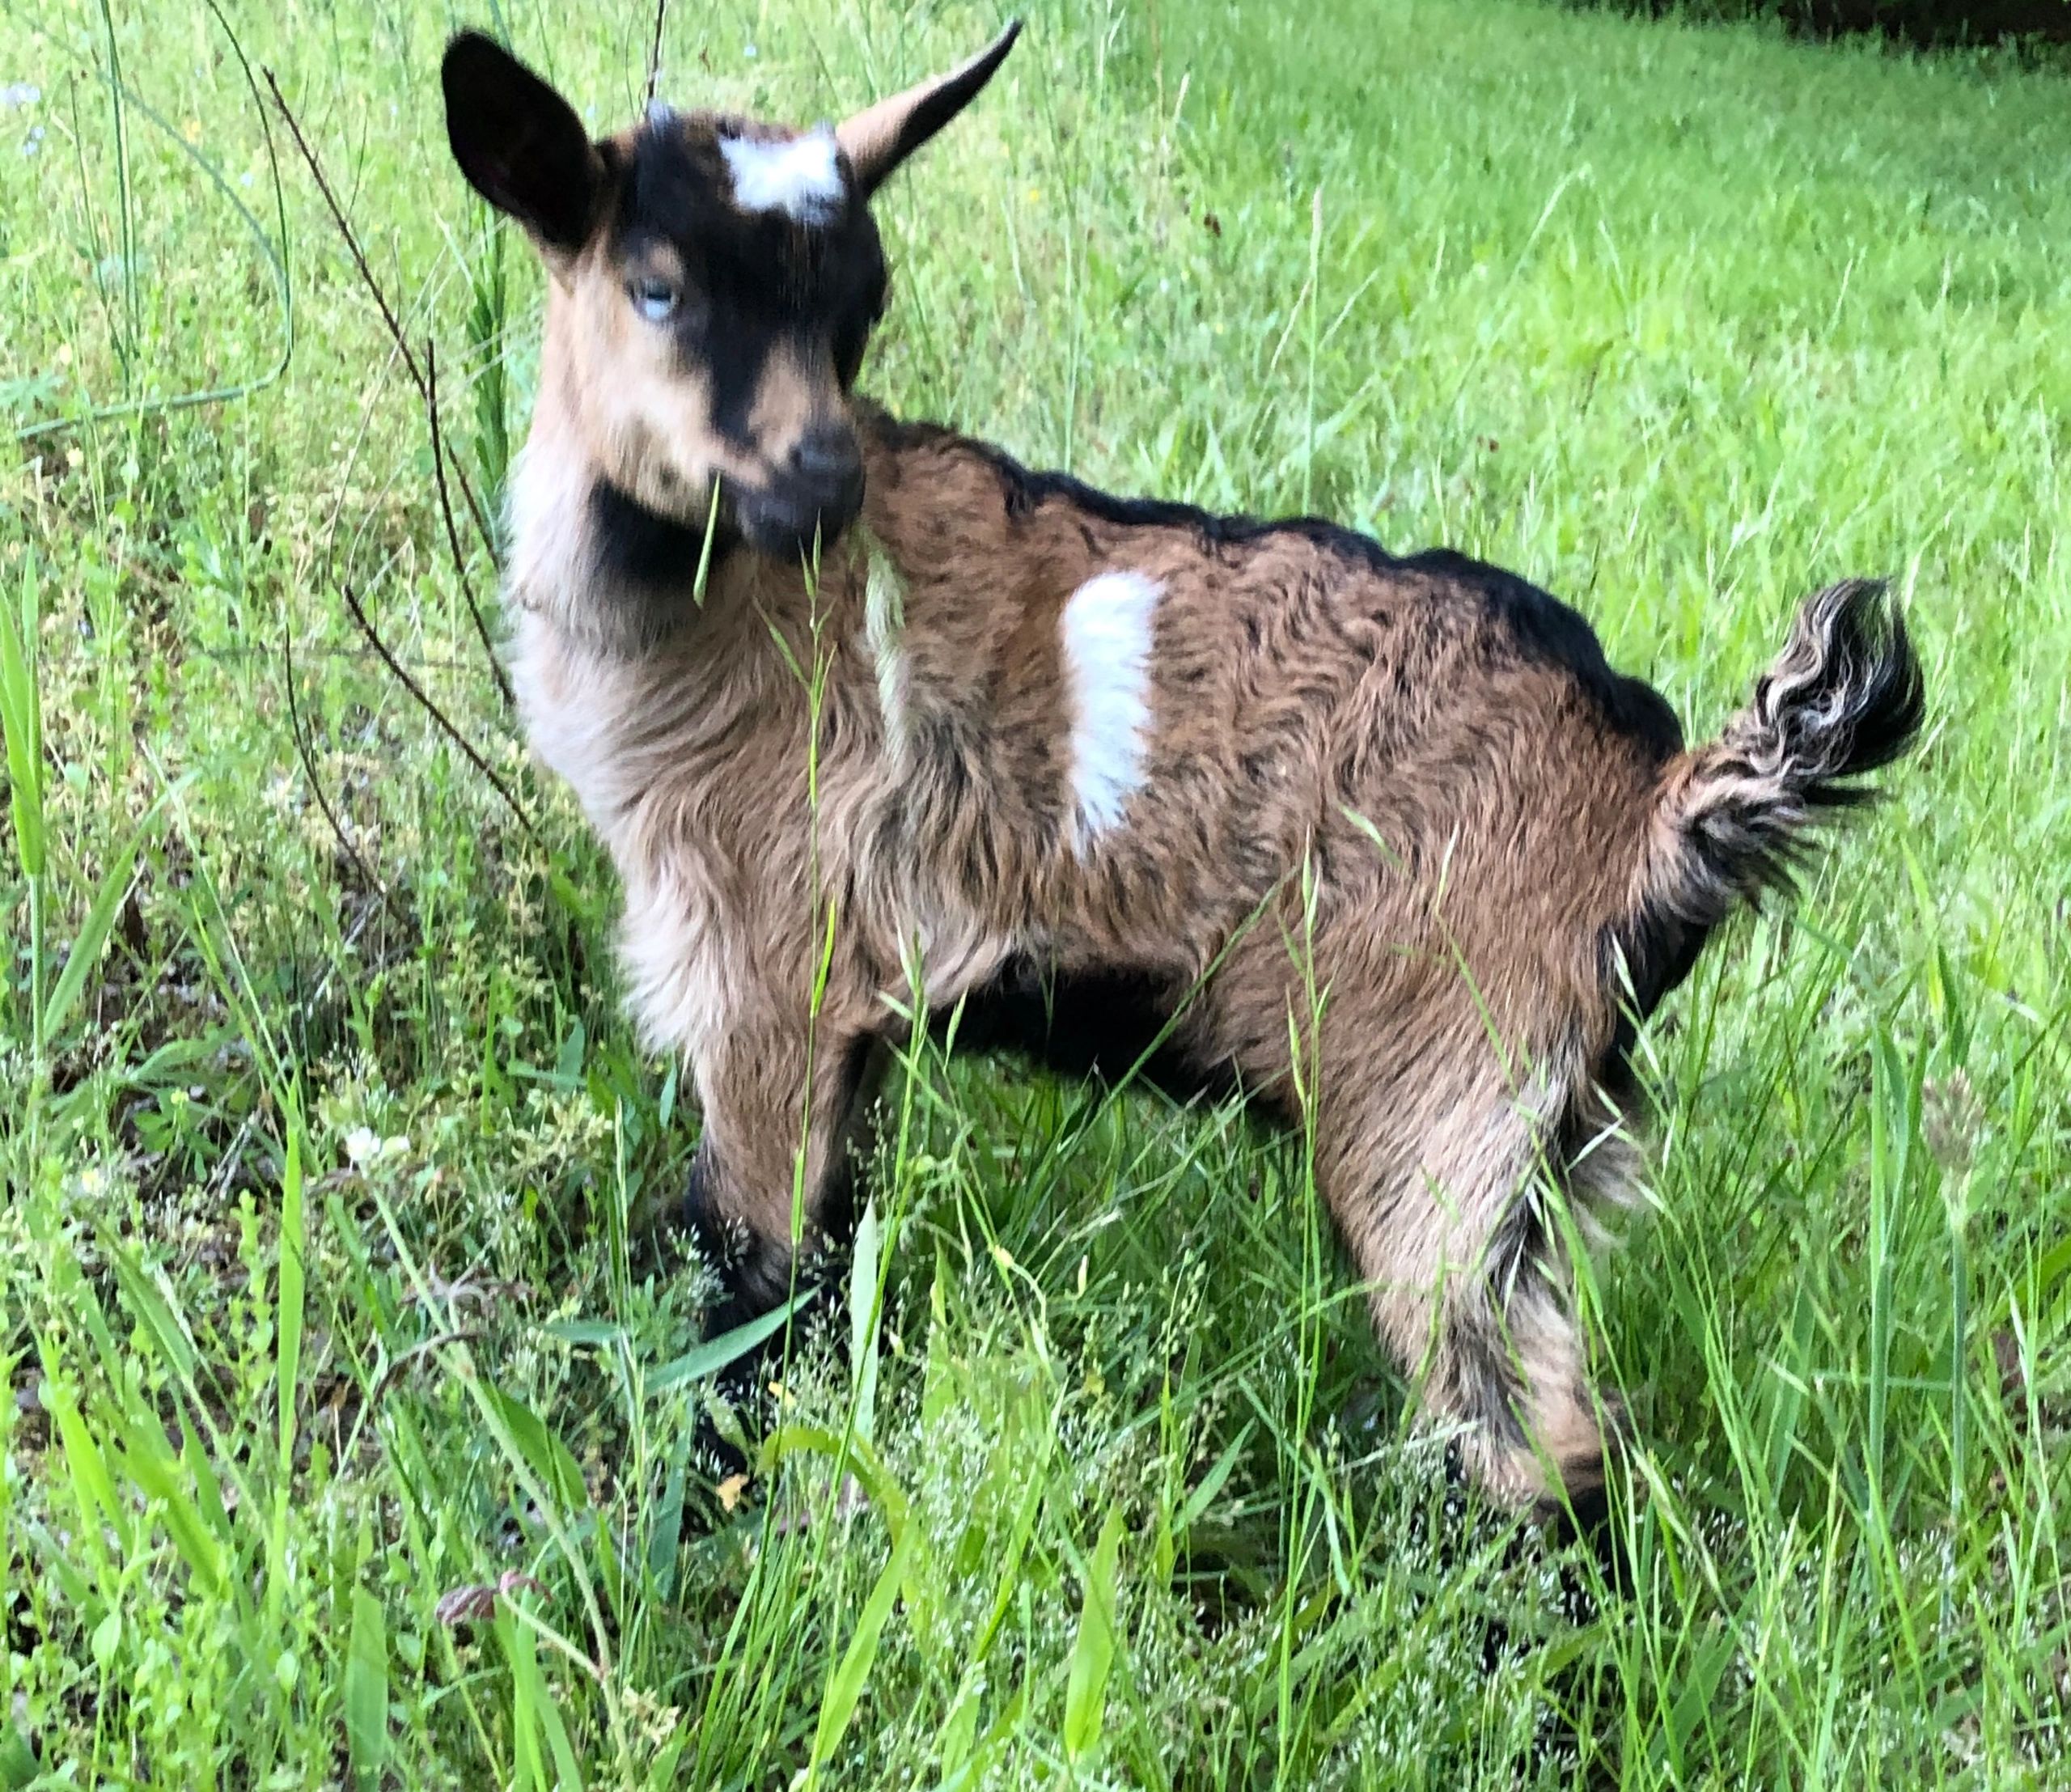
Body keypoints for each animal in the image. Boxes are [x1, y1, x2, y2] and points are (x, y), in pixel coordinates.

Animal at [440, 23, 1924, 1510]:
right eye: (659, 289)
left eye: (859, 309)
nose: (822, 484)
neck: (704, 608)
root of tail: (1657, 803)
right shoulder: (851, 1010)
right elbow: (818, 1261)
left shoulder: (767, 977)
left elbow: (742, 1285)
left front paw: (704, 1501)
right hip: (1551, 1149)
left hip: (1446, 1111)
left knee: (1527, 1454)